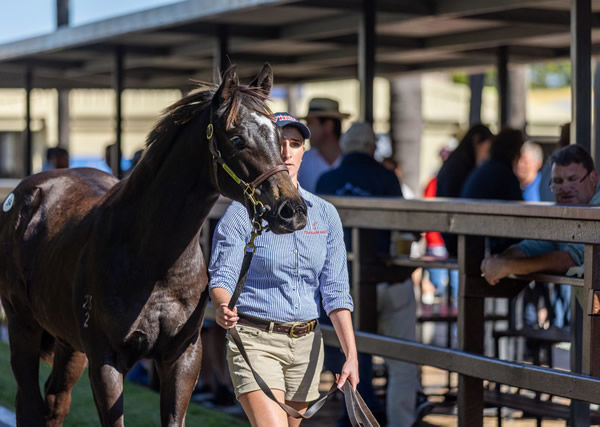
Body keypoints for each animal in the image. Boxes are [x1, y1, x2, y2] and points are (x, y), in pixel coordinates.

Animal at [0, 64, 308, 427]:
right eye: (237, 139)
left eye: (280, 138)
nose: (292, 211)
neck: (152, 260)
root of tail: (28, 192)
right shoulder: (106, 361)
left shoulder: (182, 357)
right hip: (23, 327)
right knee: (29, 402)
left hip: (67, 343)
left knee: (55, 401)